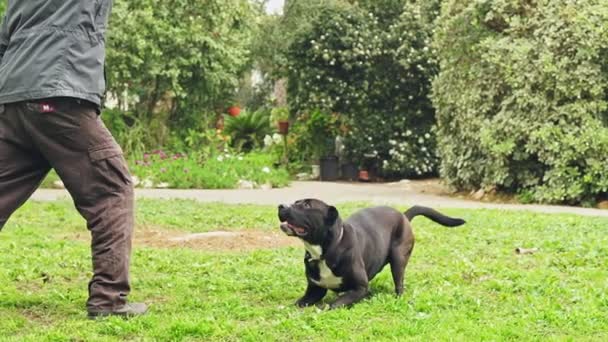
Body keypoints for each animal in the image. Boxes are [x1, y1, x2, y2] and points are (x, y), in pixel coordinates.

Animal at [278, 199, 464, 308]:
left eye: (306, 205)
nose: (281, 205)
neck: (324, 251)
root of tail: (403, 215)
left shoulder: (360, 288)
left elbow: (335, 303)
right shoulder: (315, 290)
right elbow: (298, 303)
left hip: (398, 259)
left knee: (399, 283)